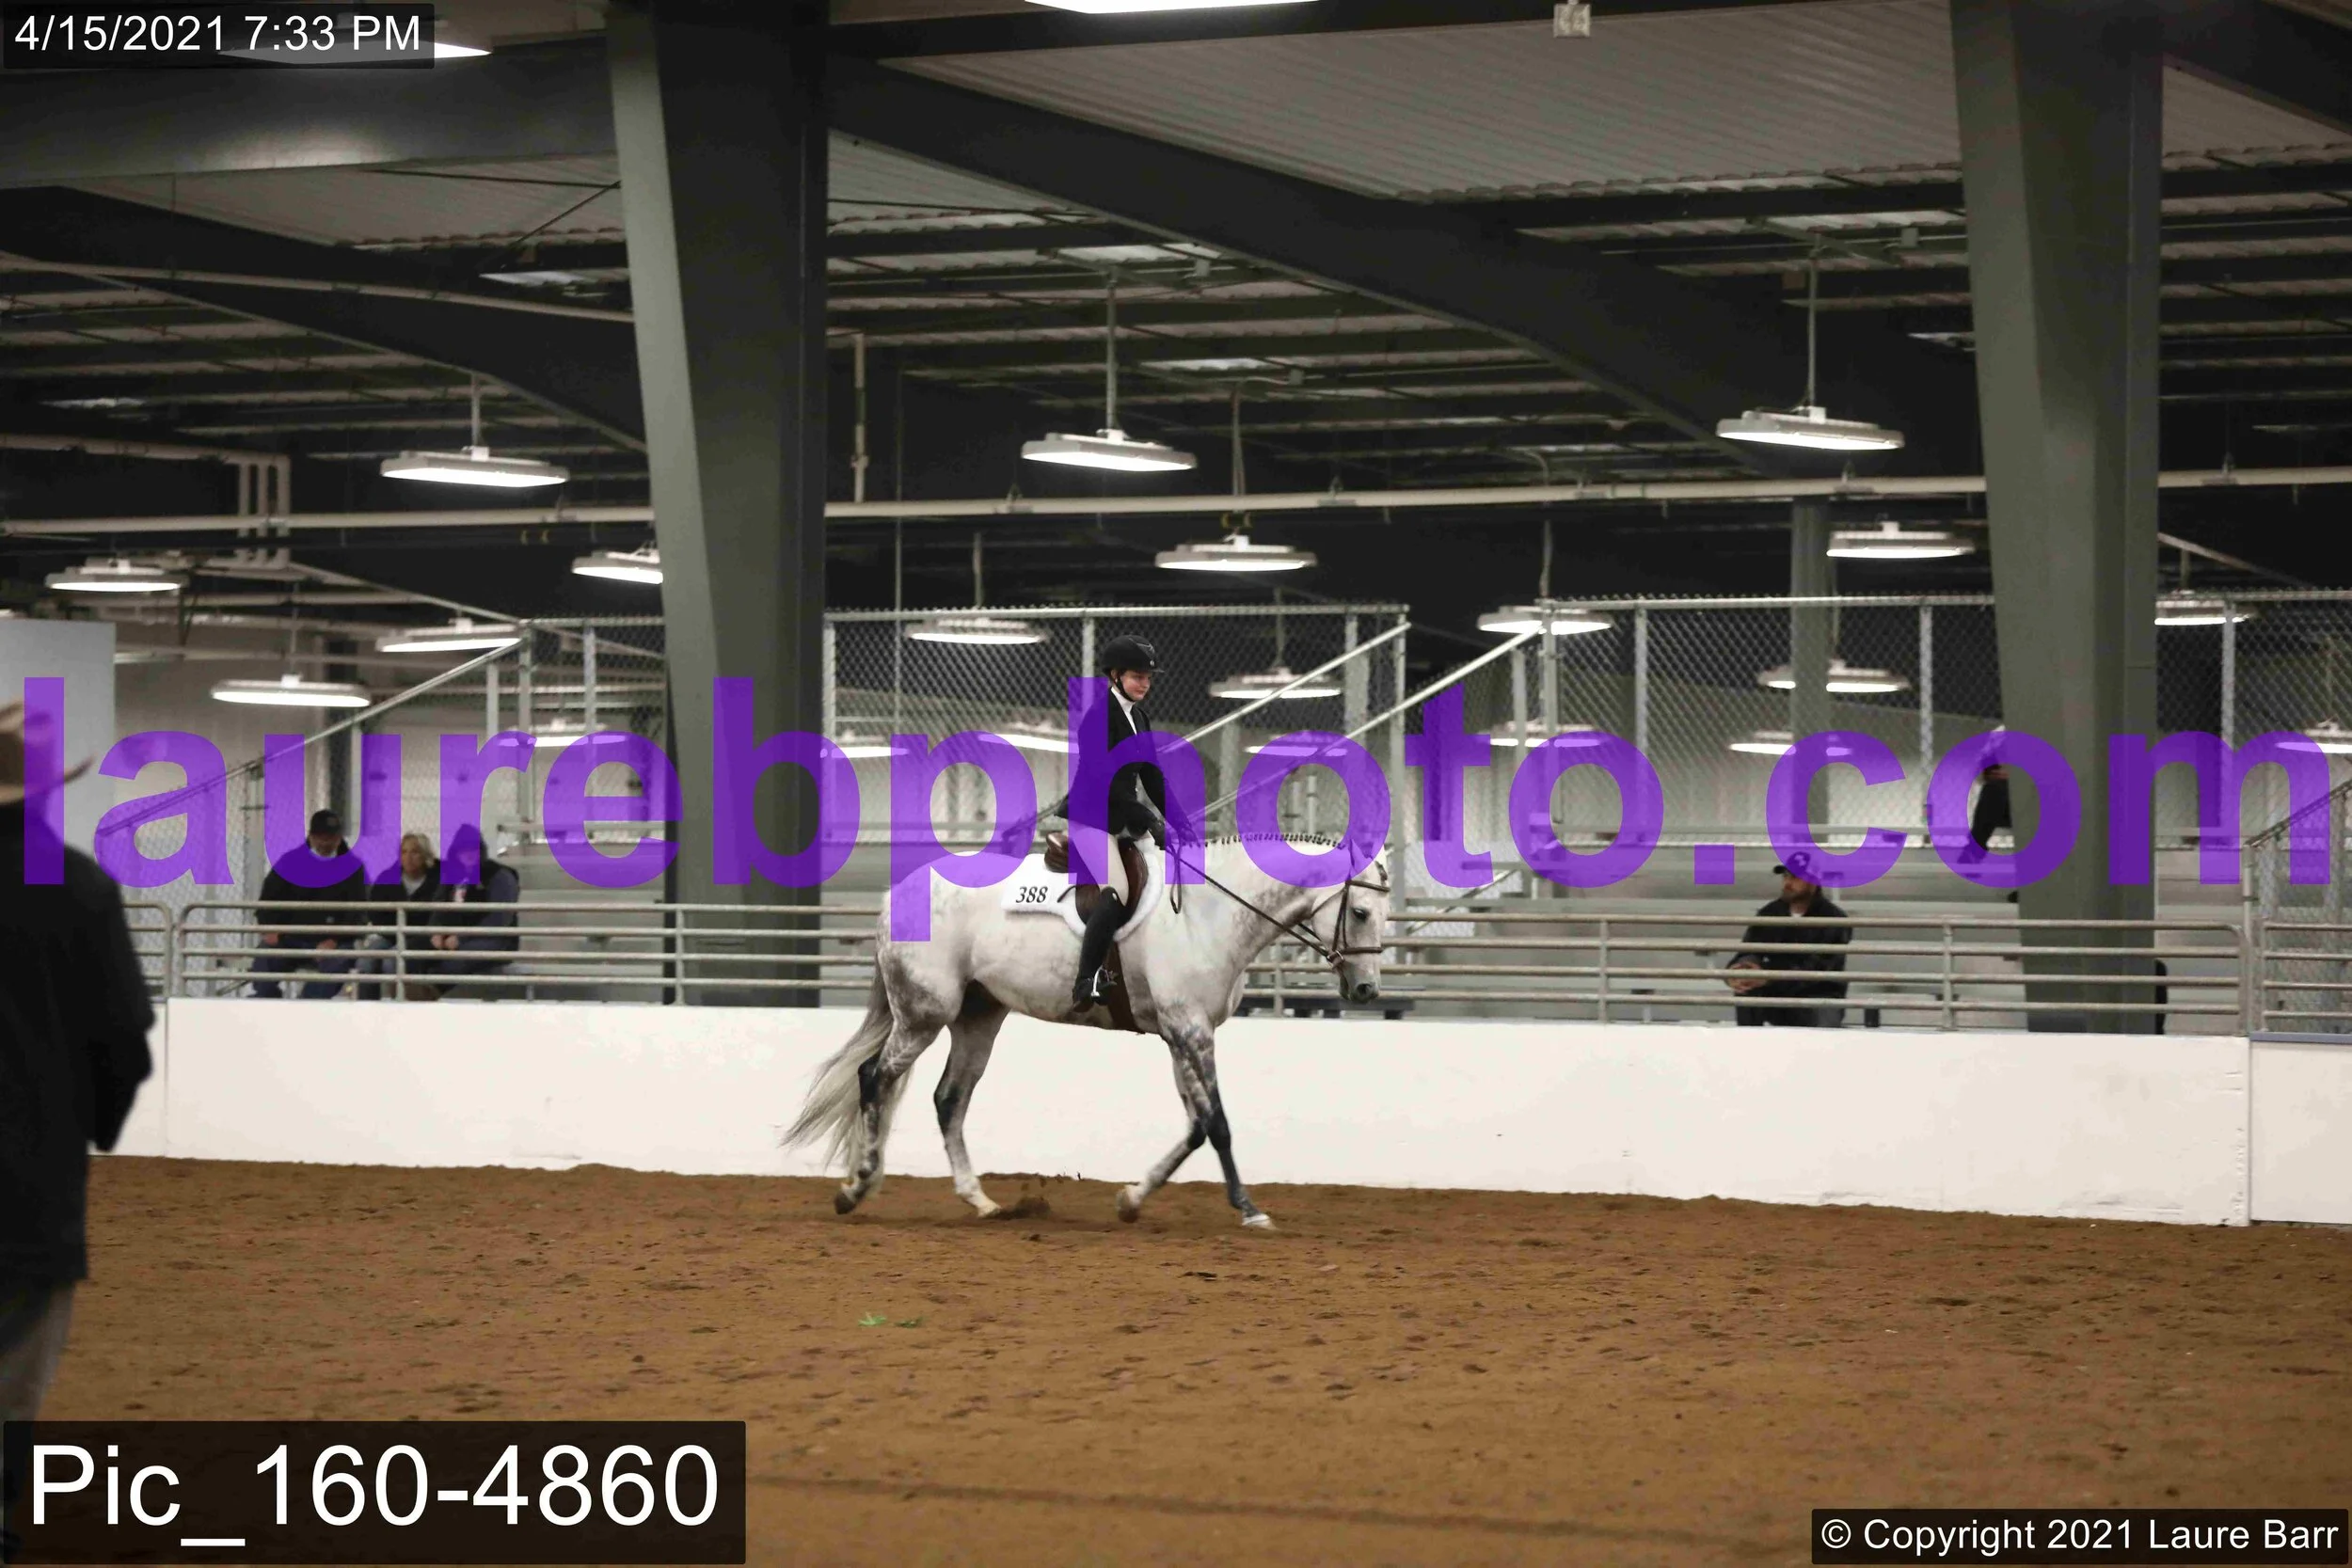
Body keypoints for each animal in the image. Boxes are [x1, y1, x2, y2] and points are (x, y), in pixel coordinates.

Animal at [785, 836, 1392, 1231]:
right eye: (1361, 912)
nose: (1366, 991)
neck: (1211, 912)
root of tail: (895, 896)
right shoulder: (1189, 1030)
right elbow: (1217, 1124)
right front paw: (1248, 1208)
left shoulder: (1181, 1033)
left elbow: (1197, 1126)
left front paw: (1132, 1200)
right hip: (923, 1015)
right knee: (874, 1078)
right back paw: (856, 1187)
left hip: (979, 1016)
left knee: (948, 1100)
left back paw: (979, 1202)